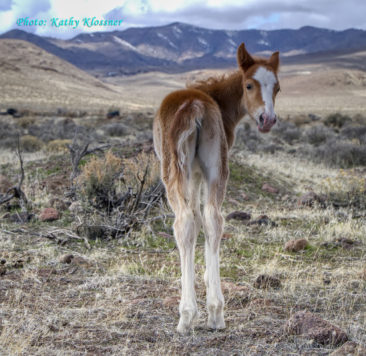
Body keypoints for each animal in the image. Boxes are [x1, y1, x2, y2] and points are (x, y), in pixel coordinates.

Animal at [152, 43, 280, 334]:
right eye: (249, 85)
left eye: (276, 87)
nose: (267, 119)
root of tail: (196, 106)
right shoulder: (203, 172)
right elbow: (204, 220)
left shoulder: (193, 175)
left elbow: (194, 219)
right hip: (217, 168)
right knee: (214, 219)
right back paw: (216, 313)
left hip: (175, 172)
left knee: (185, 223)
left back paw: (187, 316)